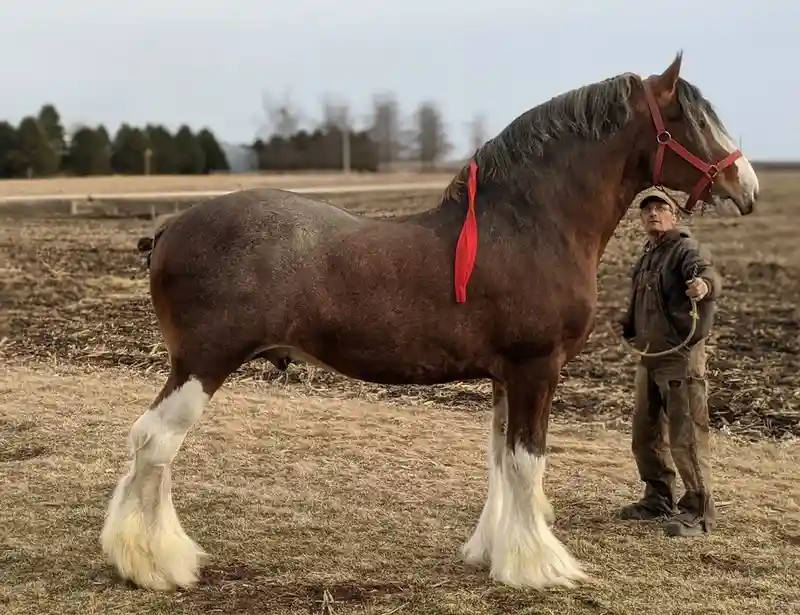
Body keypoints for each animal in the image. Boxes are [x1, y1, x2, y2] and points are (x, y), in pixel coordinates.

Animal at [100, 51, 756, 592]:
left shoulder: (506, 377)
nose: (745, 184)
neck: (528, 225)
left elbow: (501, 460)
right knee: (154, 442)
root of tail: (170, 227)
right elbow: (527, 462)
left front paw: (494, 553)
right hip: (202, 365)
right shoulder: (535, 370)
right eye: (693, 118)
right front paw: (541, 567)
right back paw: (157, 565)